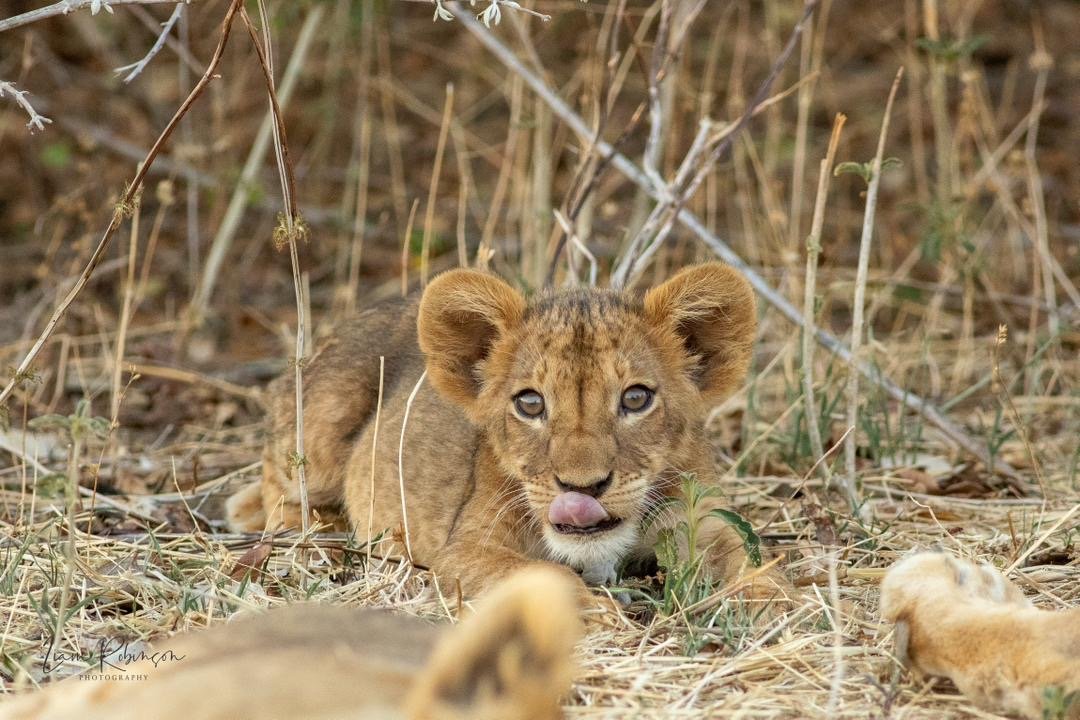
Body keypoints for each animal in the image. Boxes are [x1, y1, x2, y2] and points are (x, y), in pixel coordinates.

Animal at [226, 263, 791, 611]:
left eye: (635, 399)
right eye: (531, 403)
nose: (582, 489)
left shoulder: (706, 520)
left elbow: (751, 559)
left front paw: (776, 600)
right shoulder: (464, 551)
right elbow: (544, 575)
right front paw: (599, 613)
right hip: (320, 421)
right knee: (282, 492)